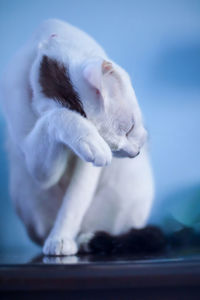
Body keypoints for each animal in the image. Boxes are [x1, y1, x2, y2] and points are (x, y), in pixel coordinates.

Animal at [0, 18, 154, 254]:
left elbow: (75, 199)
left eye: (130, 128)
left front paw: (61, 237)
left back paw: (90, 239)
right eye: (114, 149)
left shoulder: (86, 169)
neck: (43, 44)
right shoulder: (37, 166)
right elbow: (57, 117)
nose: (135, 153)